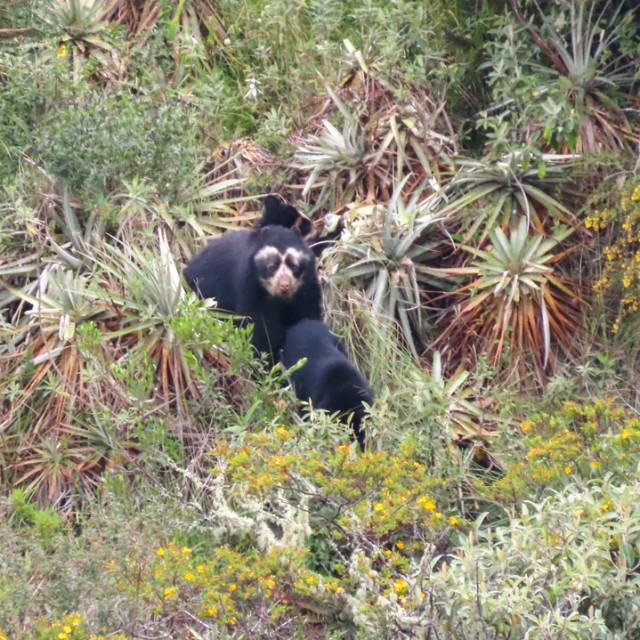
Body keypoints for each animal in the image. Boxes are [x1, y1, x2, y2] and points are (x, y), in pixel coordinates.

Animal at [184, 225, 323, 361]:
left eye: (294, 266)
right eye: (272, 267)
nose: (284, 285)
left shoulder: (306, 289)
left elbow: (307, 313)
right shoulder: (249, 287)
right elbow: (258, 325)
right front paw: (267, 357)